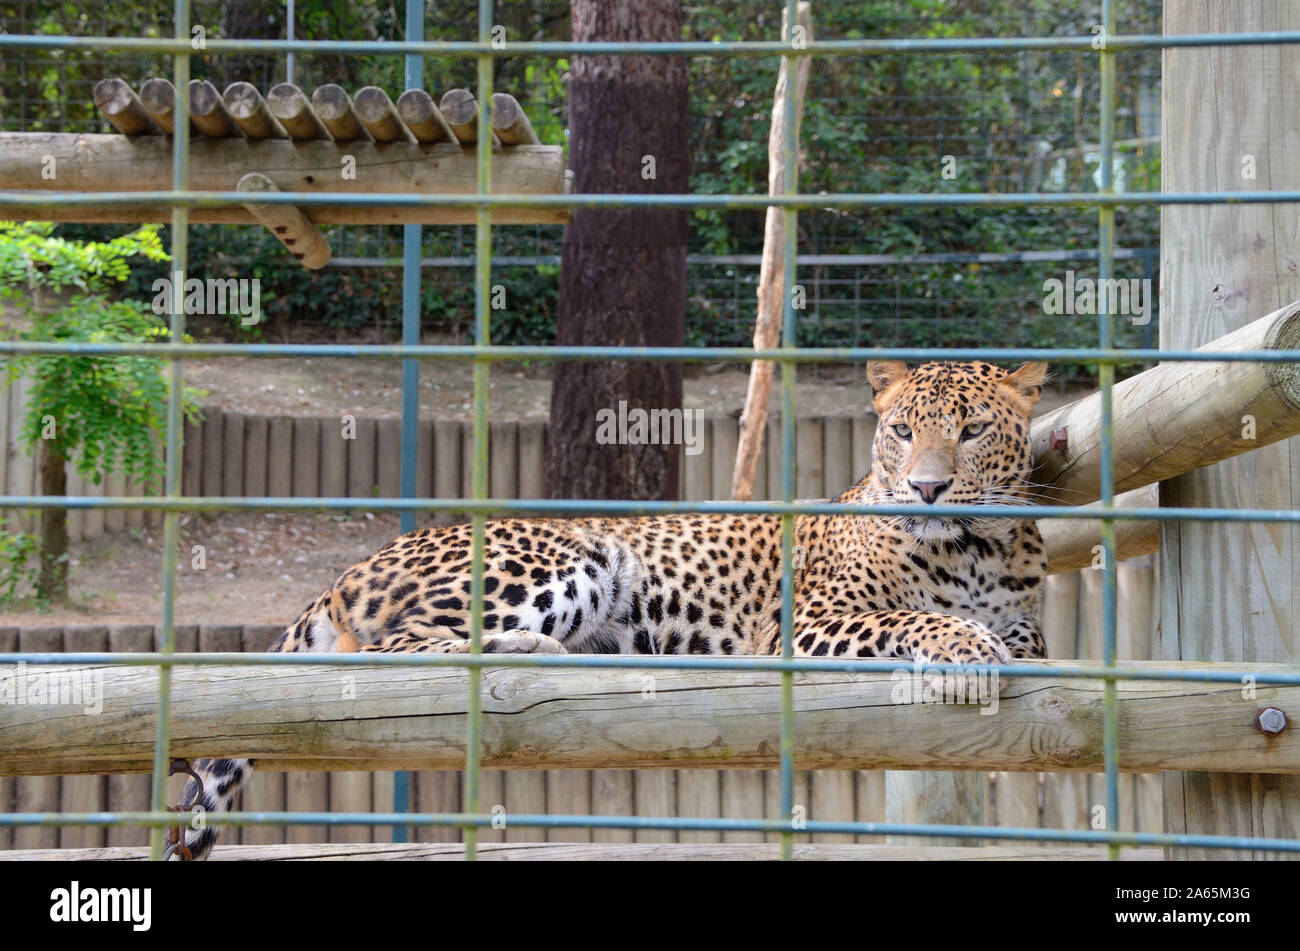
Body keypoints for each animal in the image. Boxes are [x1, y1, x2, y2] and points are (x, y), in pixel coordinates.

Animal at [170, 358, 1045, 862]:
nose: (925, 488)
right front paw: (968, 647)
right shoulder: (805, 622)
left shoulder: (1028, 613)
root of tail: (353, 568)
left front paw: (994, 639)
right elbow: (912, 618)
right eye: (900, 430)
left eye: (971, 429)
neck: (973, 546)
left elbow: (1022, 634)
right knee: (385, 651)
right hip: (566, 556)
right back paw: (530, 655)